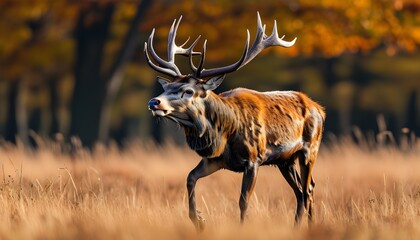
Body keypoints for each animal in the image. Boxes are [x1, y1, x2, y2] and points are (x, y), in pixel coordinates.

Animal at [144, 13, 324, 231]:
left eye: (187, 91)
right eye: (168, 86)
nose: (154, 102)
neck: (224, 132)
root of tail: (319, 108)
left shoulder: (254, 159)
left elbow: (243, 200)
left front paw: (241, 227)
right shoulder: (215, 160)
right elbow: (190, 178)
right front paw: (199, 221)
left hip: (309, 150)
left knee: (307, 189)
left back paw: (309, 226)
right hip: (285, 160)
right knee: (301, 190)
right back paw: (298, 226)